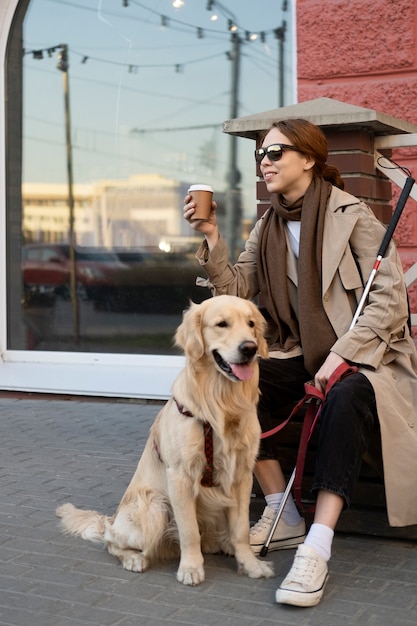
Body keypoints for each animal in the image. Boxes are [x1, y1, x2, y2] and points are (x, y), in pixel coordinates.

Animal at [57, 294, 274, 584]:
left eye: (251, 324)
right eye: (221, 324)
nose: (250, 348)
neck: (220, 403)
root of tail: (111, 519)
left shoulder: (241, 475)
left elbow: (240, 530)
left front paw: (250, 564)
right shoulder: (180, 476)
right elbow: (189, 530)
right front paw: (191, 568)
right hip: (155, 506)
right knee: (112, 542)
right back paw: (134, 559)